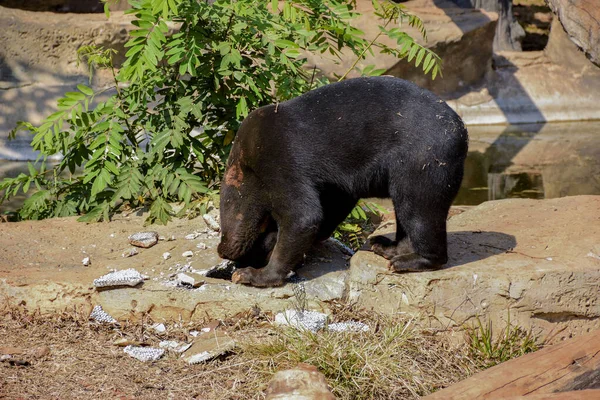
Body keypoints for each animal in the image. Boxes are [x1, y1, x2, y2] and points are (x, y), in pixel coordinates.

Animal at [217, 76, 468, 288]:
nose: (223, 250)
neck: (245, 163)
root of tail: (461, 130)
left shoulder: (280, 160)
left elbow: (303, 216)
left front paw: (252, 274)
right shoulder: (333, 183)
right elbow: (331, 206)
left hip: (423, 160)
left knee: (419, 210)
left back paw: (410, 260)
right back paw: (386, 247)